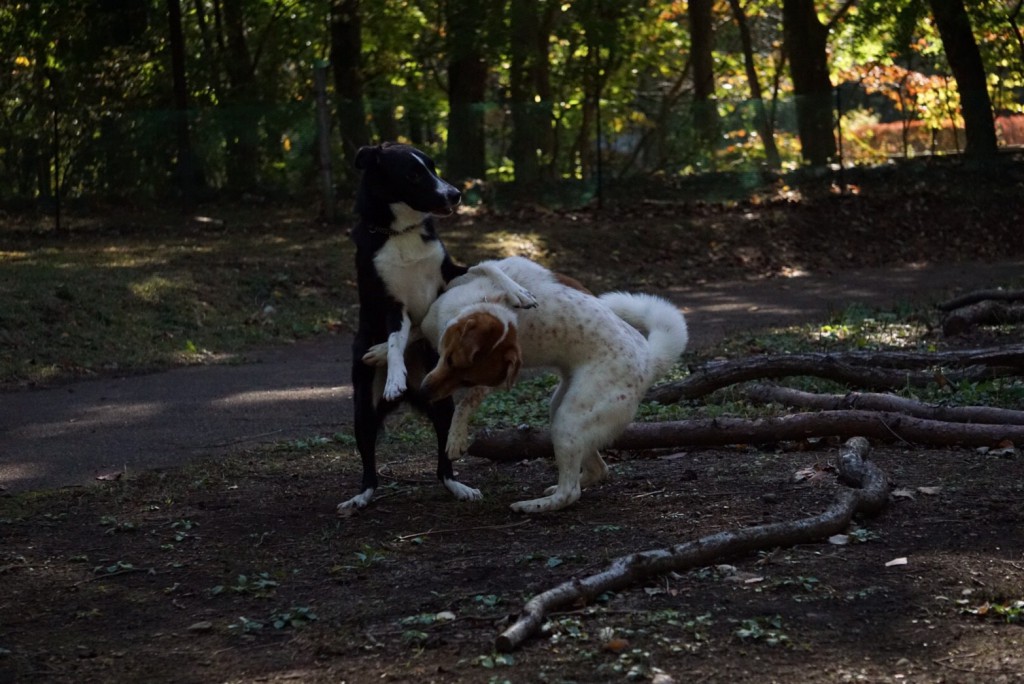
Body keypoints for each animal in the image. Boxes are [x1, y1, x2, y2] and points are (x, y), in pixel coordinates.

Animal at [342, 141, 536, 509]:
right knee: (368, 463)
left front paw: (519, 291)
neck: (400, 233)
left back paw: (457, 486)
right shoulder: (391, 305)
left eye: (432, 167)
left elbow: (488, 264)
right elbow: (395, 339)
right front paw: (393, 373)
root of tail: (416, 392)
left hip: (442, 402)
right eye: (413, 175)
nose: (455, 194)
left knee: (442, 461)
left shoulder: (447, 273)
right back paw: (361, 496)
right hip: (363, 410)